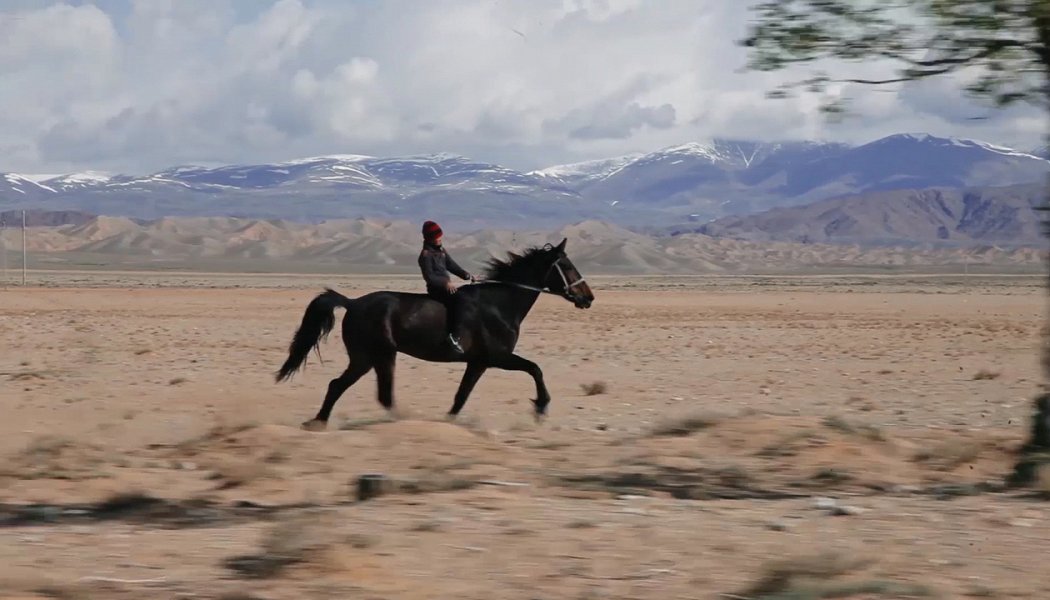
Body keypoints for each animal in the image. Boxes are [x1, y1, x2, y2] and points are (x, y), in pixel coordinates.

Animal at [275, 237, 594, 430]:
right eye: (567, 266)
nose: (588, 297)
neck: (501, 302)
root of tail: (352, 303)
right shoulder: (498, 357)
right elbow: (535, 369)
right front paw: (541, 407)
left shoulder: (478, 362)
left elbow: (461, 396)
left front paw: (449, 421)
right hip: (372, 356)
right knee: (349, 388)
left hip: (377, 357)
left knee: (355, 389)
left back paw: (319, 422)